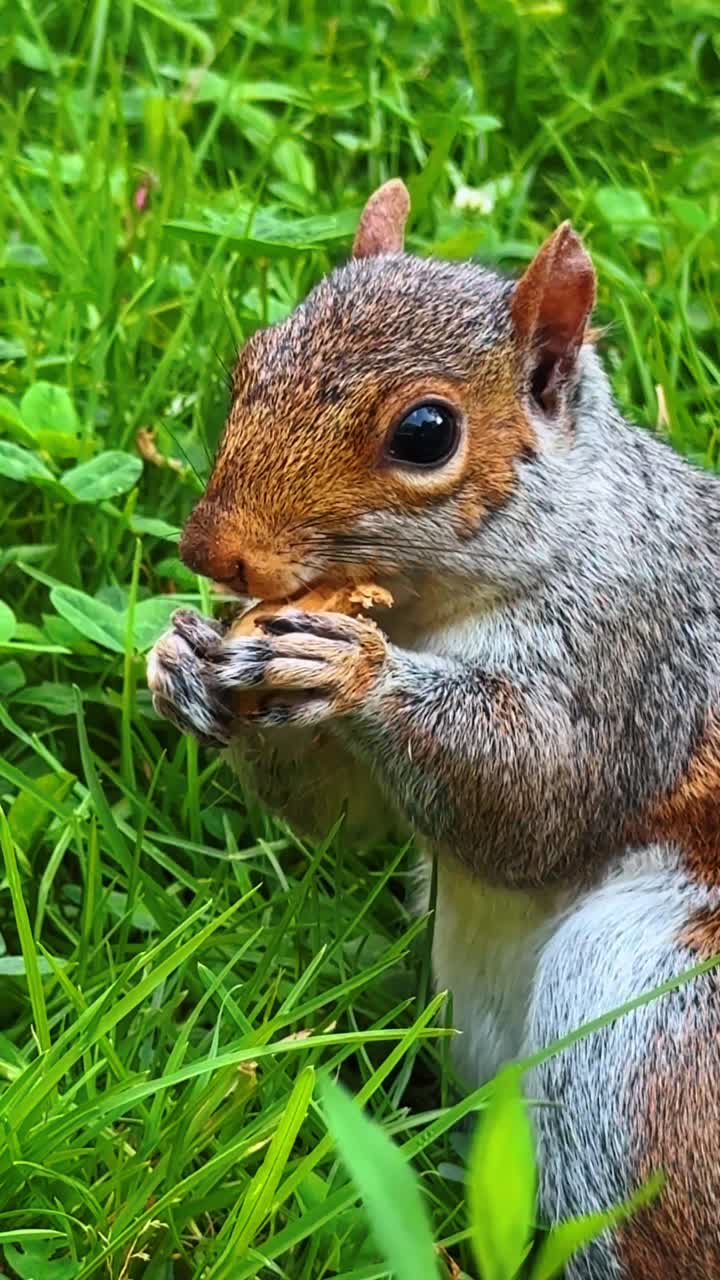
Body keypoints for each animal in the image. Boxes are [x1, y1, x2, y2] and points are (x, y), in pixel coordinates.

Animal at [147, 179, 720, 1278]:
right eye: (249, 360)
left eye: (424, 432)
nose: (213, 552)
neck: (430, 609)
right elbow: (347, 818)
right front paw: (179, 660)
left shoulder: (636, 657)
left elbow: (539, 803)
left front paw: (352, 668)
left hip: (643, 1047)